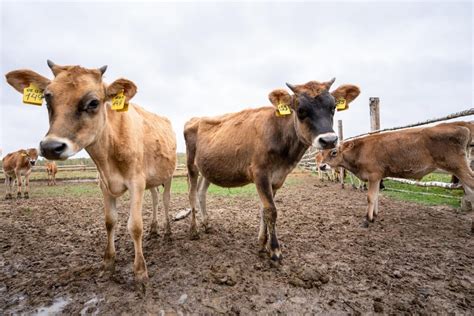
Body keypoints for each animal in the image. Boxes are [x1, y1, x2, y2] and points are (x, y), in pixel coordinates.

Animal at [6, 61, 176, 282]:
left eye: (94, 102)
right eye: (46, 98)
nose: (51, 147)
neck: (108, 157)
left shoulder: (136, 182)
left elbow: (135, 226)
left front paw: (140, 272)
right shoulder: (104, 184)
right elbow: (110, 222)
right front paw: (108, 263)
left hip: (168, 176)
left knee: (164, 200)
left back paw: (168, 232)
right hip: (152, 179)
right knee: (155, 199)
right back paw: (154, 229)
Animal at [184, 79, 360, 262]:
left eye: (333, 107)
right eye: (301, 110)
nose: (329, 140)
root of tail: (196, 119)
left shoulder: (277, 178)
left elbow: (264, 210)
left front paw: (263, 243)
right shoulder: (260, 173)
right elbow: (271, 210)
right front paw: (275, 249)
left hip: (207, 169)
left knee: (201, 192)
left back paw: (207, 224)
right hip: (191, 165)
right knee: (191, 193)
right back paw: (194, 231)